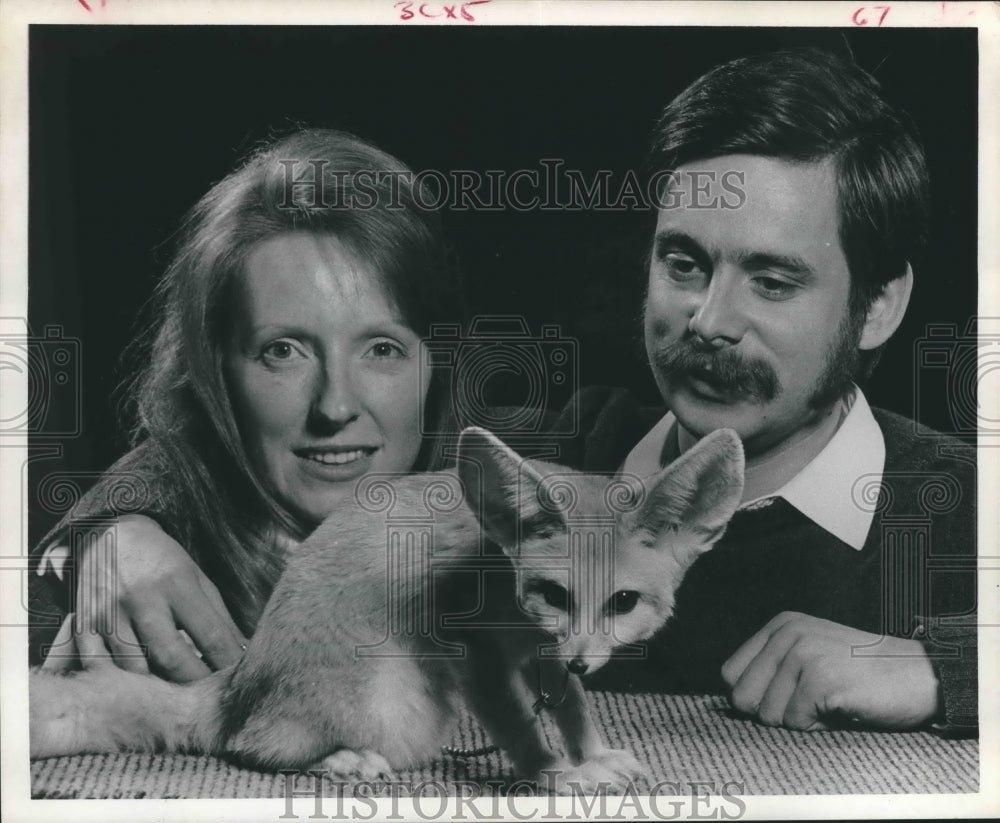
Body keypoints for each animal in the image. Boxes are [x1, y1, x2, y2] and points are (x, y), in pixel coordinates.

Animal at [31, 428, 744, 788]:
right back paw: (340, 761)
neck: (496, 563)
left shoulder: (545, 654)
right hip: (393, 705)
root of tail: (233, 687)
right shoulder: (478, 652)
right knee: (246, 747)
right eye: (554, 594)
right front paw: (552, 774)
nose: (582, 661)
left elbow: (570, 706)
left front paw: (590, 754)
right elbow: (519, 722)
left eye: (624, 602)